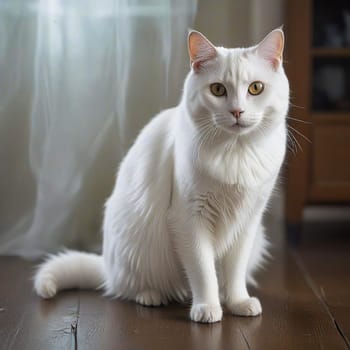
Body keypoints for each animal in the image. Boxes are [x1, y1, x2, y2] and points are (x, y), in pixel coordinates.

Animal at [34, 28, 288, 324]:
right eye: (218, 89)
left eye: (255, 88)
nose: (237, 111)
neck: (236, 154)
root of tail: (107, 265)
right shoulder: (189, 219)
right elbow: (203, 272)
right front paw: (207, 308)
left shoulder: (247, 222)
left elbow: (234, 272)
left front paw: (238, 302)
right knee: (128, 288)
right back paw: (152, 296)